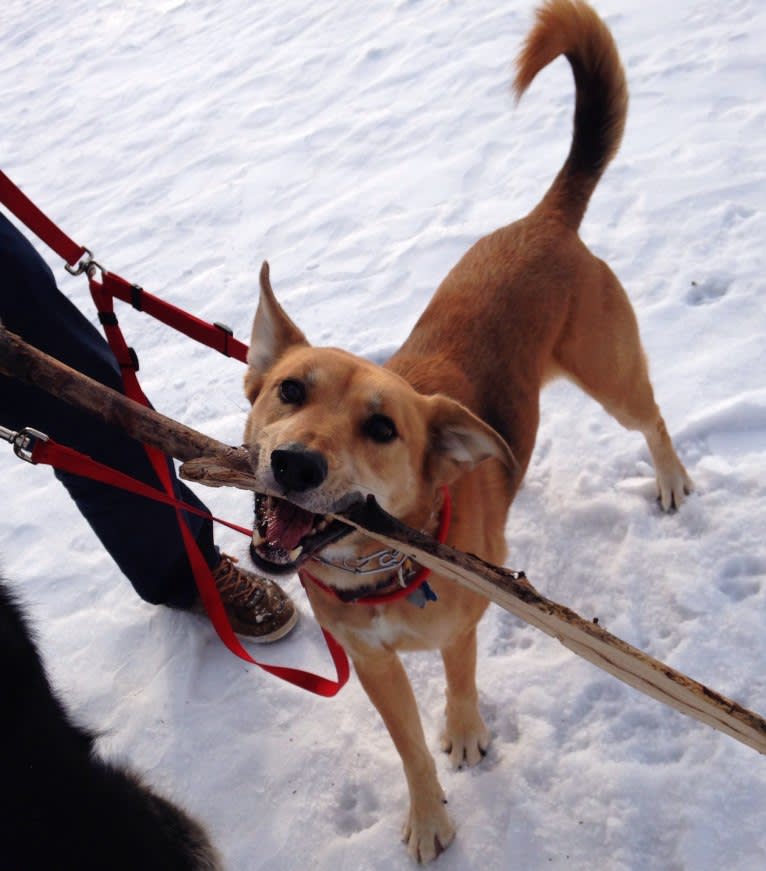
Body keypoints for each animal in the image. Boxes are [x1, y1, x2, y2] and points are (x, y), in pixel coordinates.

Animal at [243, 0, 692, 860]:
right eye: (290, 390)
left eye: (382, 427)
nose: (295, 465)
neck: (384, 561)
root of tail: (544, 218)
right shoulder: (371, 665)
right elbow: (408, 748)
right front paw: (428, 815)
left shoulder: (463, 627)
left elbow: (458, 683)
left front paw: (465, 733)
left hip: (610, 374)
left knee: (651, 415)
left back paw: (672, 479)